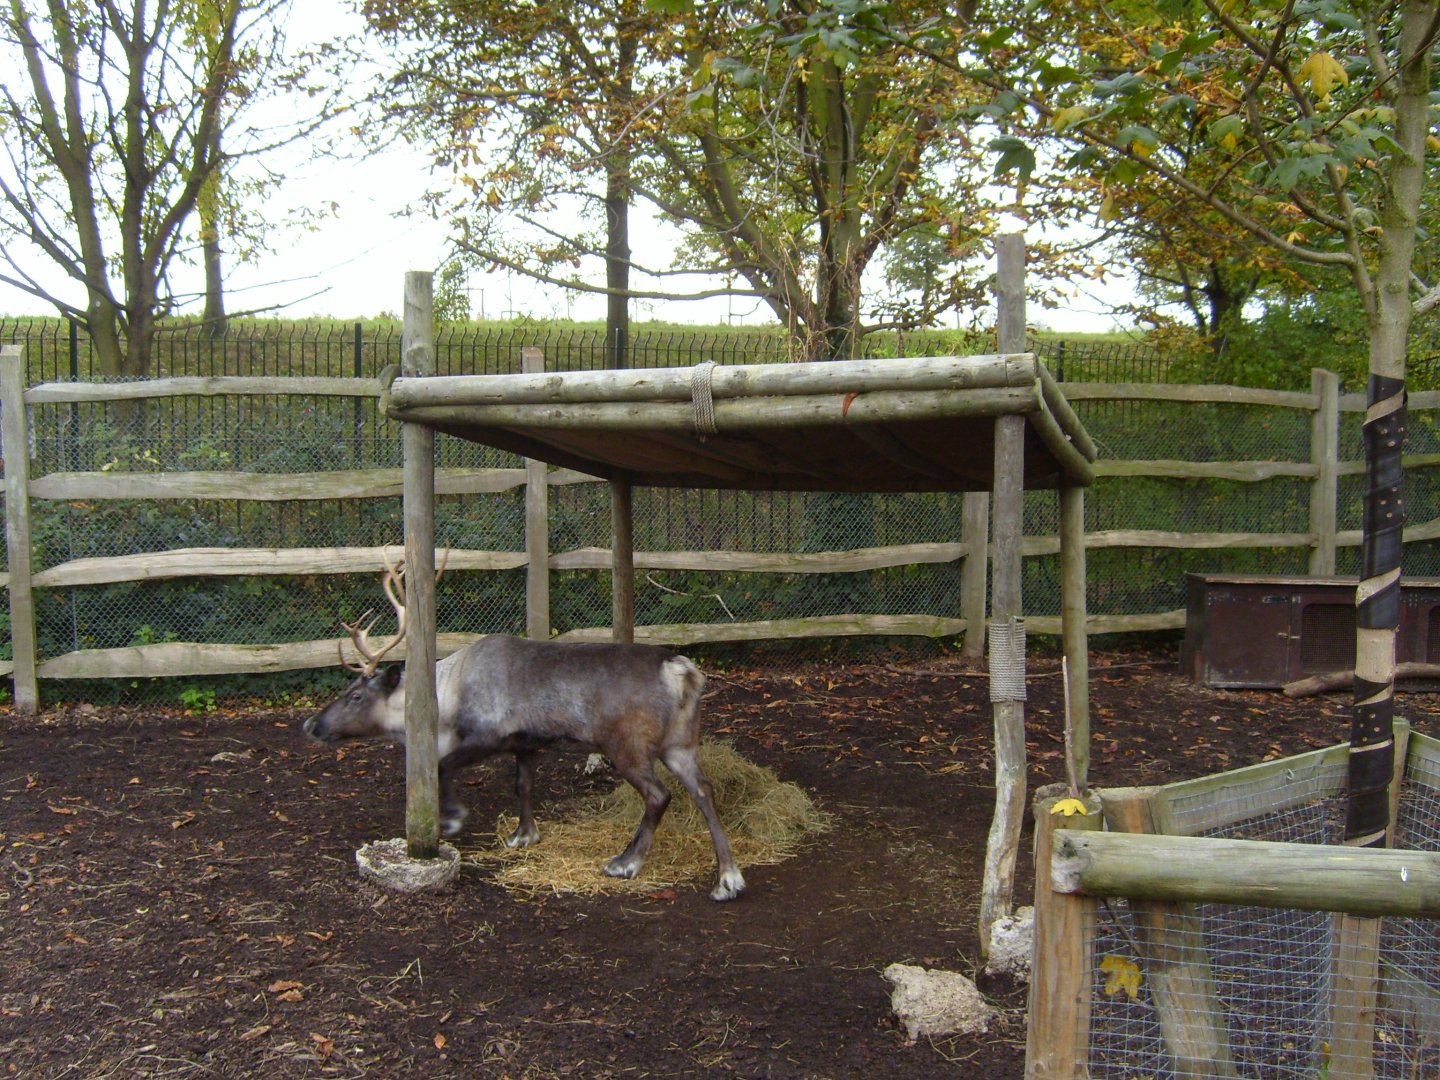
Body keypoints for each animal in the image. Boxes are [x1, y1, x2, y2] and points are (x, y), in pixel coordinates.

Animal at [302, 554, 746, 901]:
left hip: (628, 746)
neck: (448, 694)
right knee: (705, 791)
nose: (311, 724)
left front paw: (452, 818)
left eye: (355, 695)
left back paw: (626, 862)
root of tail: (681, 671)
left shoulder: (487, 735)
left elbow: (444, 765)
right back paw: (727, 878)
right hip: (680, 744)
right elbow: (523, 785)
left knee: (659, 795)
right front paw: (523, 835)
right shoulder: (526, 743)